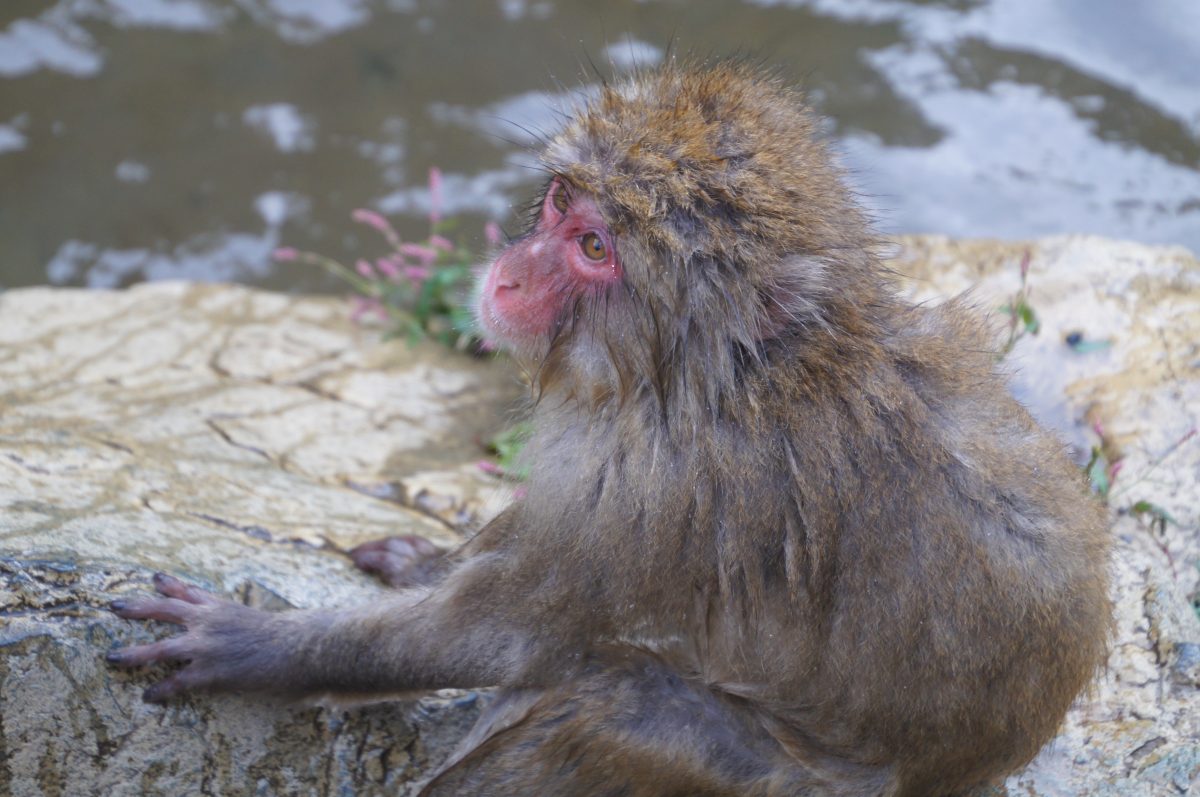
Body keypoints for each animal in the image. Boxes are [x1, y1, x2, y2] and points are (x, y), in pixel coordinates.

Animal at [107, 62, 1111, 797]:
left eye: (595, 249)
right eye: (560, 203)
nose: (509, 272)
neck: (709, 378)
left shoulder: (658, 492)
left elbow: (504, 637)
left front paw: (252, 647)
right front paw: (428, 559)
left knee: (603, 706)